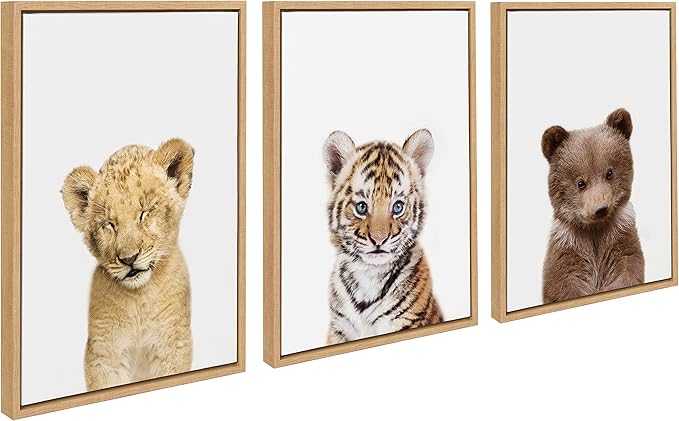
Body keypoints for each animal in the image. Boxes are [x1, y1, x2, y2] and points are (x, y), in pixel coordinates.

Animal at [61, 138, 194, 391]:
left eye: (145, 213)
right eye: (109, 224)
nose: (128, 259)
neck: (139, 297)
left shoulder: (173, 346)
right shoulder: (104, 354)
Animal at [541, 108, 645, 303]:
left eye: (609, 172)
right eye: (580, 182)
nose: (600, 208)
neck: (594, 230)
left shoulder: (621, 235)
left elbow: (628, 268)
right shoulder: (568, 246)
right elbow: (562, 284)